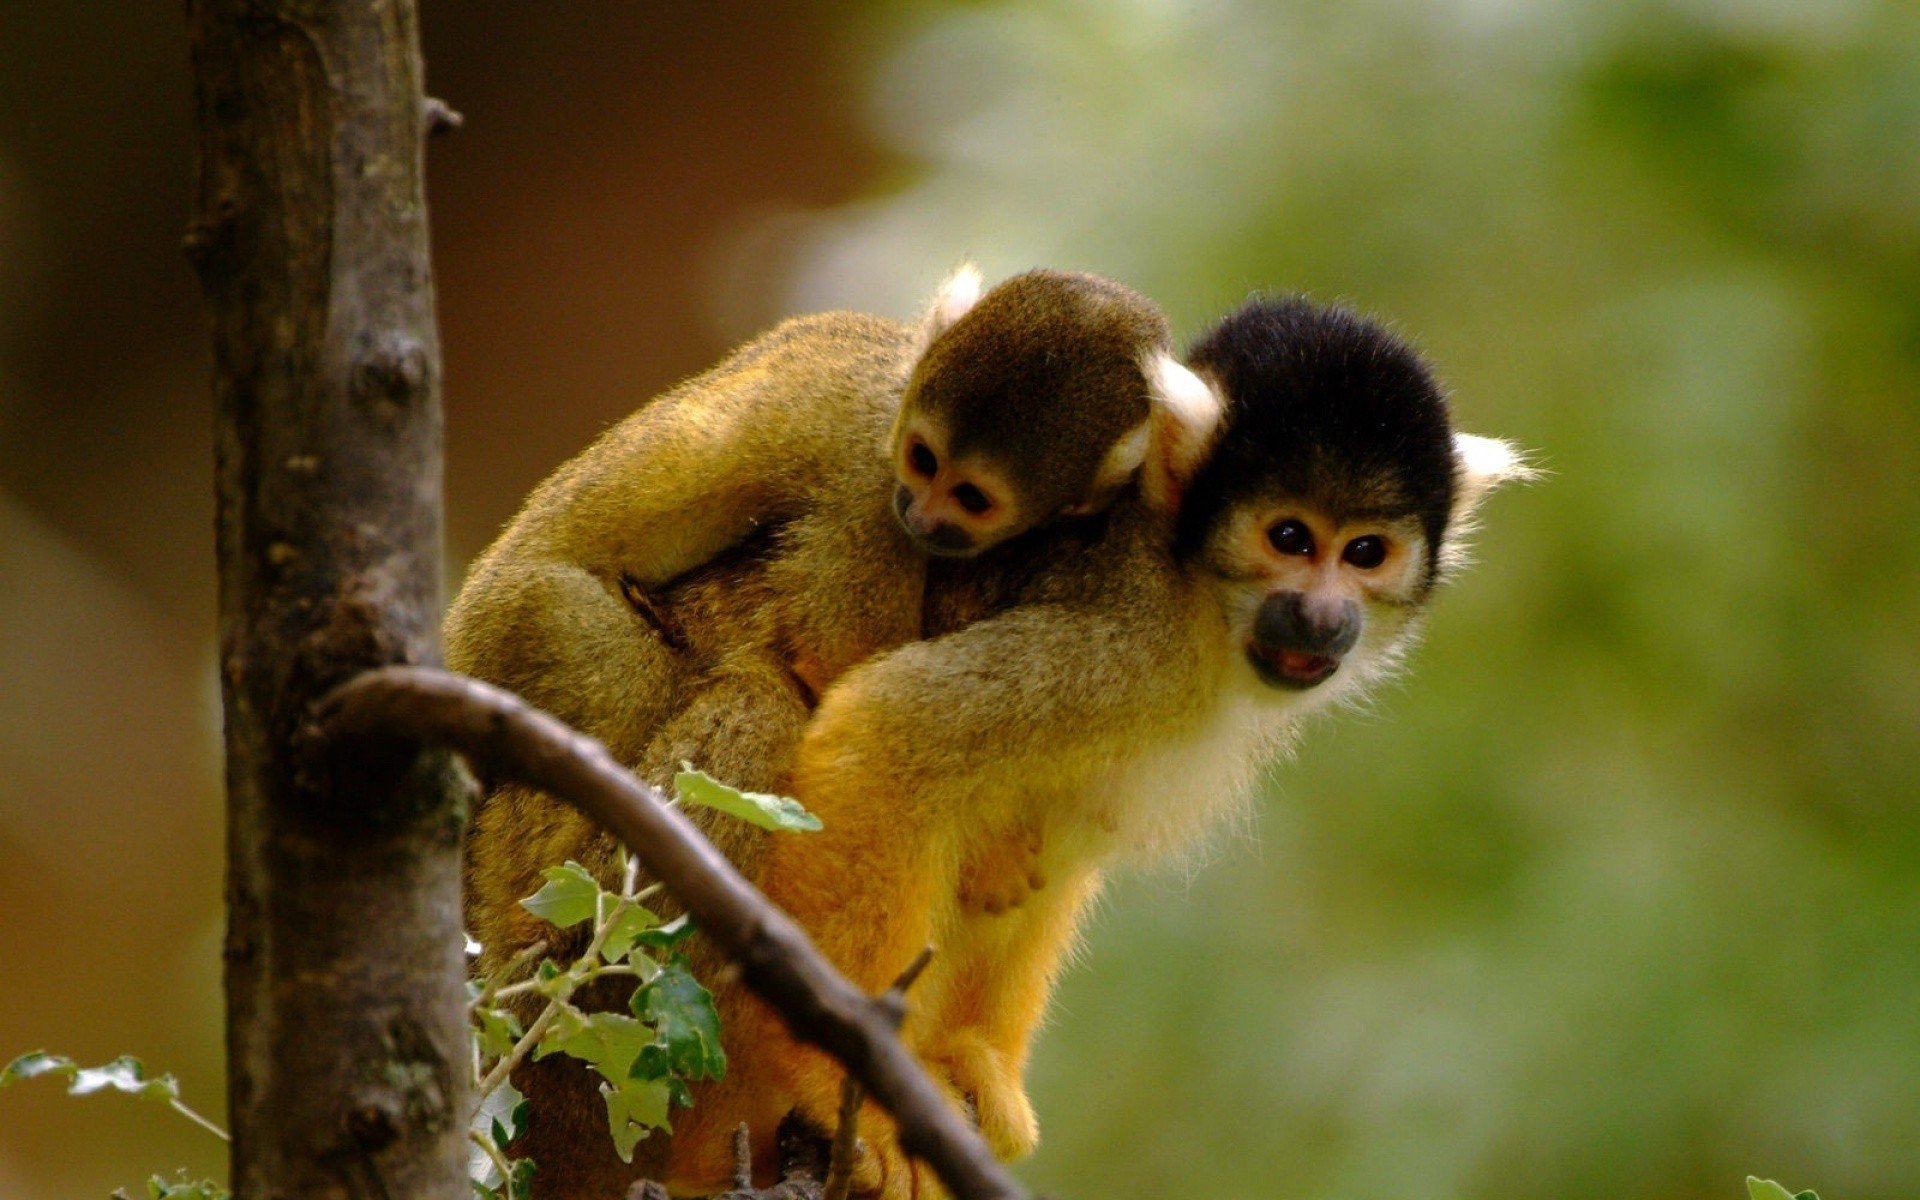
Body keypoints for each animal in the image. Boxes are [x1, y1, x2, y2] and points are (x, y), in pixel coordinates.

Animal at [445, 266, 1182, 1190]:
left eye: (972, 496)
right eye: (923, 461)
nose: (925, 513)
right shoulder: (867, 486)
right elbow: (842, 659)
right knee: (735, 708)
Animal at [706, 291, 1528, 1198]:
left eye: (1365, 553)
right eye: (1288, 538)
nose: (1323, 616)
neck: (1194, 594)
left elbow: (1044, 849)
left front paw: (970, 1061)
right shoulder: (1127, 646)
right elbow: (890, 731)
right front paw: (836, 1078)